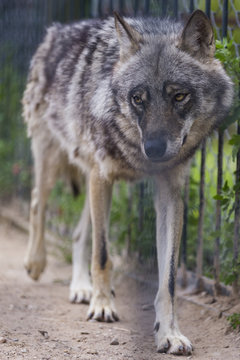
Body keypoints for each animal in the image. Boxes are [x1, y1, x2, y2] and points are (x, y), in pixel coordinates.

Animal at [22, 9, 232, 356]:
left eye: (179, 96)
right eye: (137, 99)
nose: (155, 149)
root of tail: (58, 30)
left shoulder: (168, 193)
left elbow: (168, 280)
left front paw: (169, 334)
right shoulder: (102, 175)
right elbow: (103, 255)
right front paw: (102, 306)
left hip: (95, 181)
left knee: (79, 233)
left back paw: (81, 287)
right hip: (54, 160)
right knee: (38, 202)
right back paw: (36, 264)